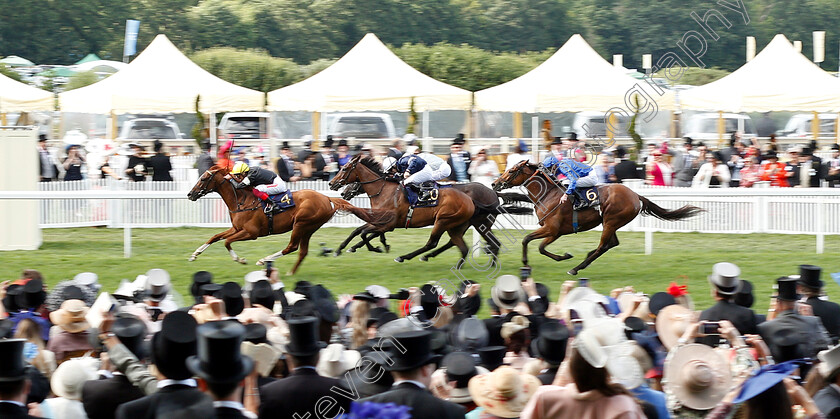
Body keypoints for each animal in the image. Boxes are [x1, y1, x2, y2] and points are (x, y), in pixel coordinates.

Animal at [187, 166, 394, 278]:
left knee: (291, 247)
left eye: (203, 178)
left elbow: (227, 242)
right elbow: (215, 237)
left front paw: (241, 259)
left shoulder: (251, 233)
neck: (242, 200)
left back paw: (265, 260)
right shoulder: (236, 228)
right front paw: (194, 255)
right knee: (302, 251)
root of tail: (327, 198)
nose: (190, 194)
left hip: (301, 224)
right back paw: (290, 272)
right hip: (308, 228)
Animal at [492, 161, 704, 276]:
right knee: (612, 243)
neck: (548, 195)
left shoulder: (553, 231)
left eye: (512, 170)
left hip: (610, 221)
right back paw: (586, 257)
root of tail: (636, 195)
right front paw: (528, 262)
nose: (495, 183)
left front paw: (561, 257)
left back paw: (576, 268)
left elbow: (537, 245)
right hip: (611, 223)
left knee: (604, 246)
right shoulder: (551, 230)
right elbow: (529, 241)